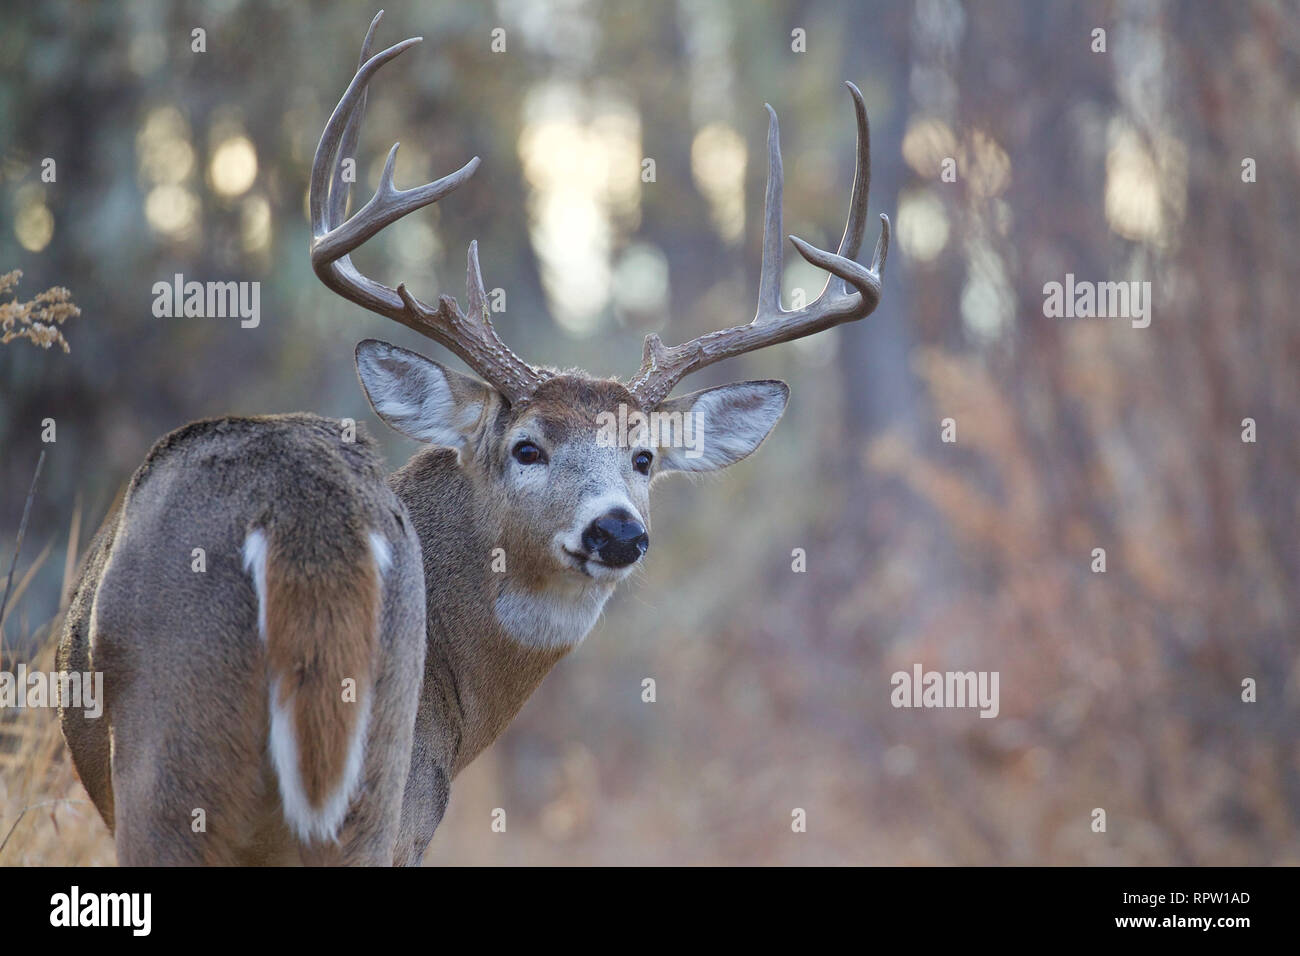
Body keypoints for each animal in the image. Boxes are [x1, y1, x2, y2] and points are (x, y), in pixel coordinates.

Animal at [53, 13, 883, 868]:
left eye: (644, 457)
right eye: (527, 446)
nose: (618, 530)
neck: (457, 706)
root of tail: (303, 519)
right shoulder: (416, 812)